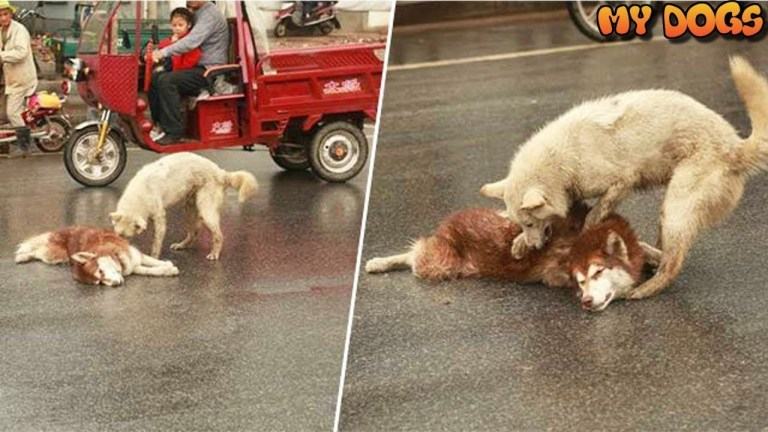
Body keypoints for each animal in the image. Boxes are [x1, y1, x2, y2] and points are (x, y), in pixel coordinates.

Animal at [109, 152, 258, 260]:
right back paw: (182, 245)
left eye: (126, 236)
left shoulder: (160, 218)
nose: (117, 252)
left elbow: (156, 242)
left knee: (218, 236)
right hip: (189, 209)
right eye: (118, 235)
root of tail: (220, 172)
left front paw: (154, 258)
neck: (139, 196)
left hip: (206, 210)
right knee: (194, 233)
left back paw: (214, 253)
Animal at [480, 55, 768, 300]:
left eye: (530, 222)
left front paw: (586, 229)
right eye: (522, 223)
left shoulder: (622, 181)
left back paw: (645, 288)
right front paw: (519, 243)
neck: (560, 159)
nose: (536, 247)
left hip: (676, 207)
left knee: (673, 263)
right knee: (664, 252)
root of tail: (735, 147)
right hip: (670, 210)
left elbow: (596, 213)